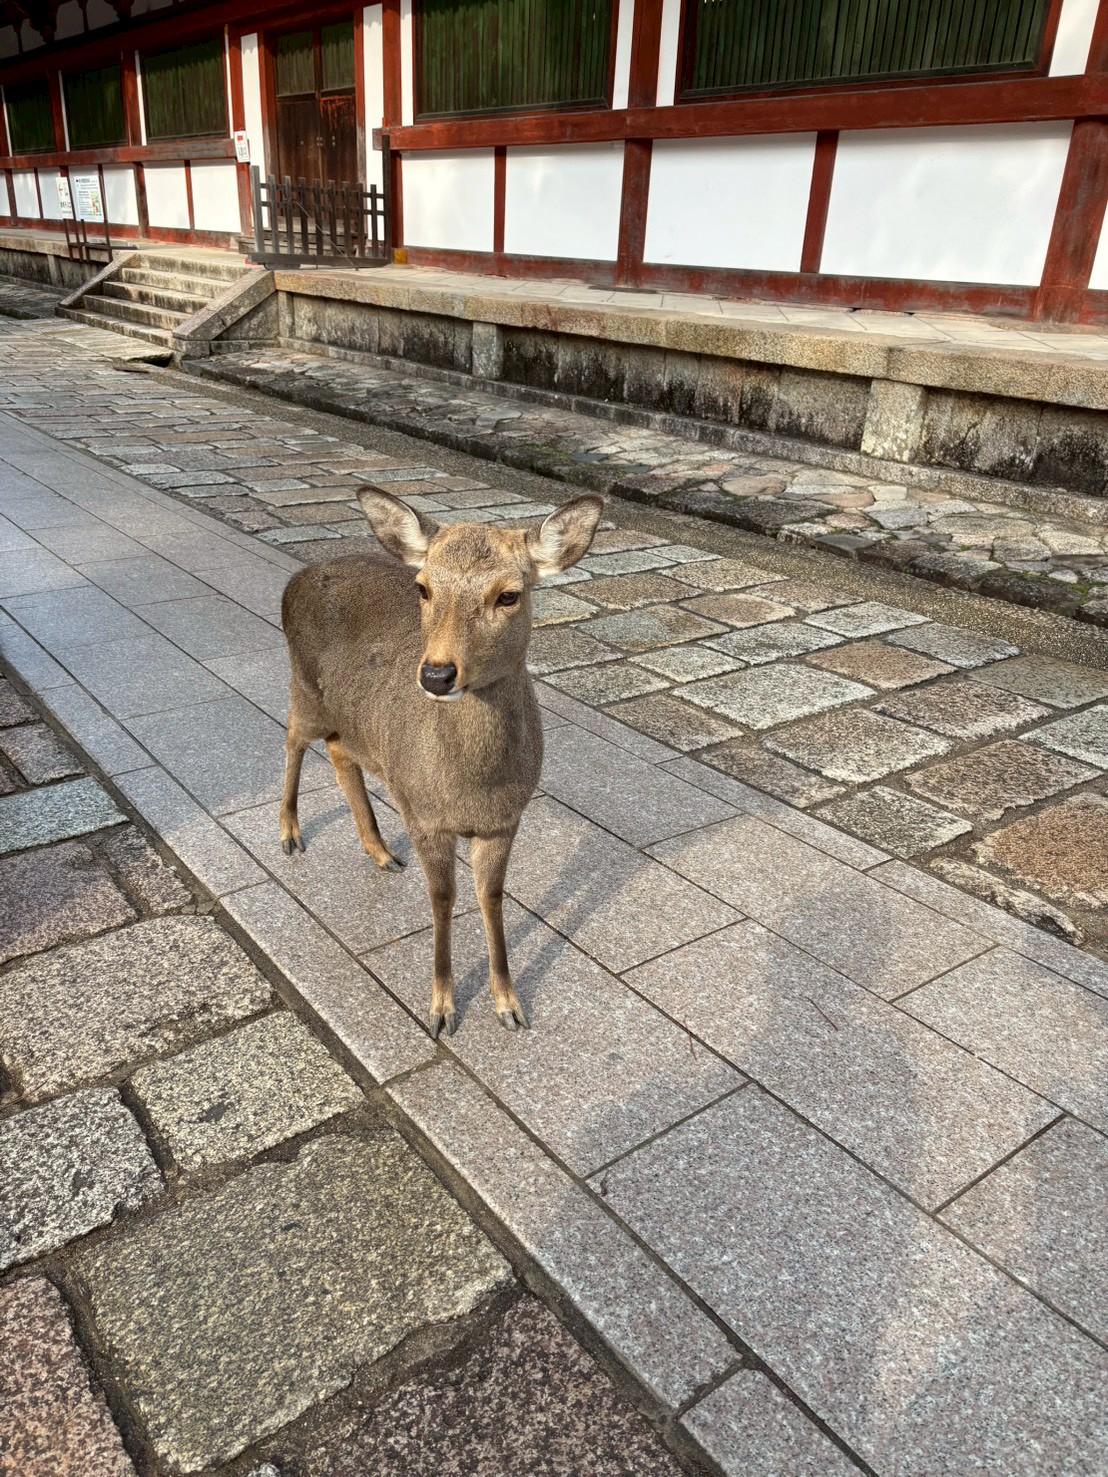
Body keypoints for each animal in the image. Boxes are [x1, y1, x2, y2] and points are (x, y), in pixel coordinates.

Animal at [278, 485, 604, 1040]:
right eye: (423, 588)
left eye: (508, 594)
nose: (435, 675)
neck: (470, 788)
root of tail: (294, 581)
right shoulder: (423, 814)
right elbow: (442, 898)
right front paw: (441, 1009)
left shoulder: (505, 820)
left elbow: (491, 897)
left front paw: (509, 1004)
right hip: (305, 689)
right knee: (293, 738)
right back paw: (290, 833)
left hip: (354, 720)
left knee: (340, 752)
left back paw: (380, 851)